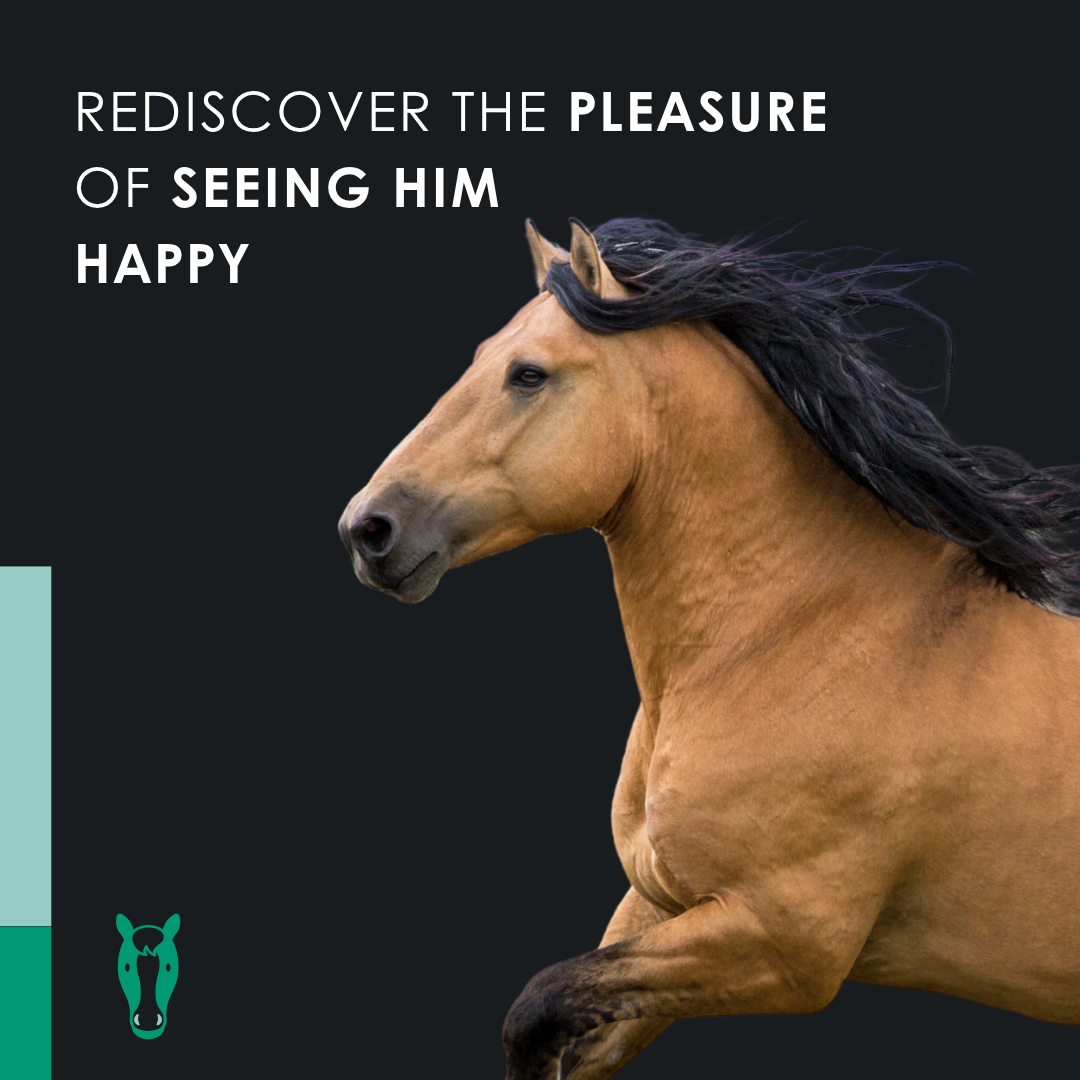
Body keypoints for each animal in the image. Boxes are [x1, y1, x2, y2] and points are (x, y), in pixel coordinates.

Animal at [337, 218, 1080, 1079]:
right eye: (482, 355)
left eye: (528, 374)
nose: (368, 529)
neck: (791, 641)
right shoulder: (663, 906)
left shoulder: (780, 941)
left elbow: (536, 1010)